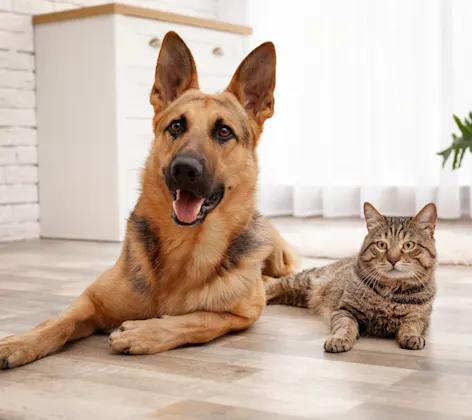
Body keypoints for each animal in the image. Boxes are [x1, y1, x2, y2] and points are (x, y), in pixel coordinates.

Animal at [0, 32, 296, 368]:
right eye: (176, 126)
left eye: (223, 131)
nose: (184, 169)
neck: (184, 248)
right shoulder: (91, 301)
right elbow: (57, 322)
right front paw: (22, 341)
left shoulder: (242, 315)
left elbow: (200, 319)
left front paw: (145, 332)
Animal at [268, 202, 436, 352]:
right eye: (381, 245)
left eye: (409, 245)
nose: (393, 260)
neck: (391, 291)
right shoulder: (344, 310)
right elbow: (345, 326)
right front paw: (339, 339)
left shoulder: (421, 318)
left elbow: (411, 326)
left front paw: (411, 336)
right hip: (303, 281)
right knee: (275, 285)